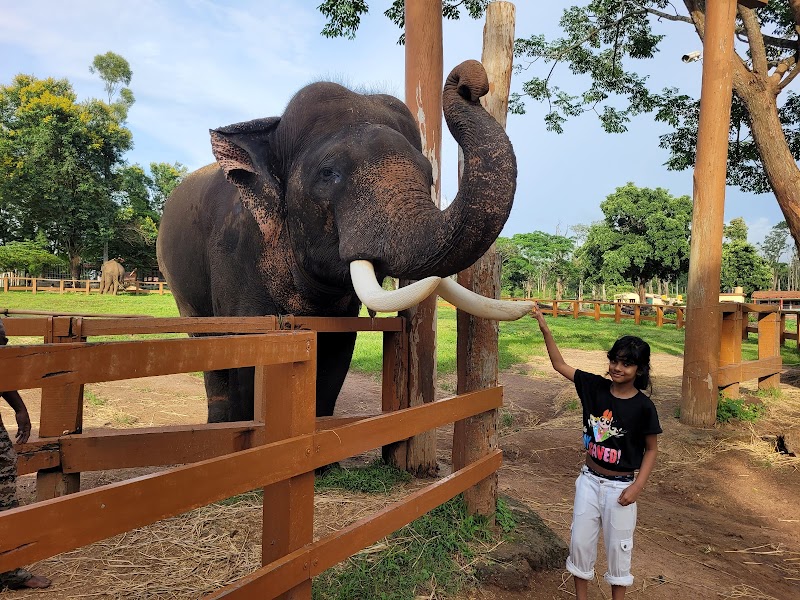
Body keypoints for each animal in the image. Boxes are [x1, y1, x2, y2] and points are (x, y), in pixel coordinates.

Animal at [157, 60, 532, 423]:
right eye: (328, 173)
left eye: (429, 176)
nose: (471, 80)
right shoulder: (236, 256)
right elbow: (247, 357)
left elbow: (335, 358)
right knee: (205, 345)